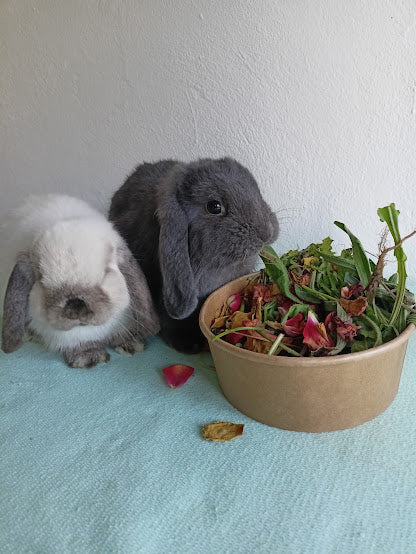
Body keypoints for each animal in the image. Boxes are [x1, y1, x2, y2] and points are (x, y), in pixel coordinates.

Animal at [0, 194, 160, 366]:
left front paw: (131, 344)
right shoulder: (68, 337)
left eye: (106, 272)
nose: (76, 304)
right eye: (41, 279)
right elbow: (80, 343)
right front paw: (90, 358)